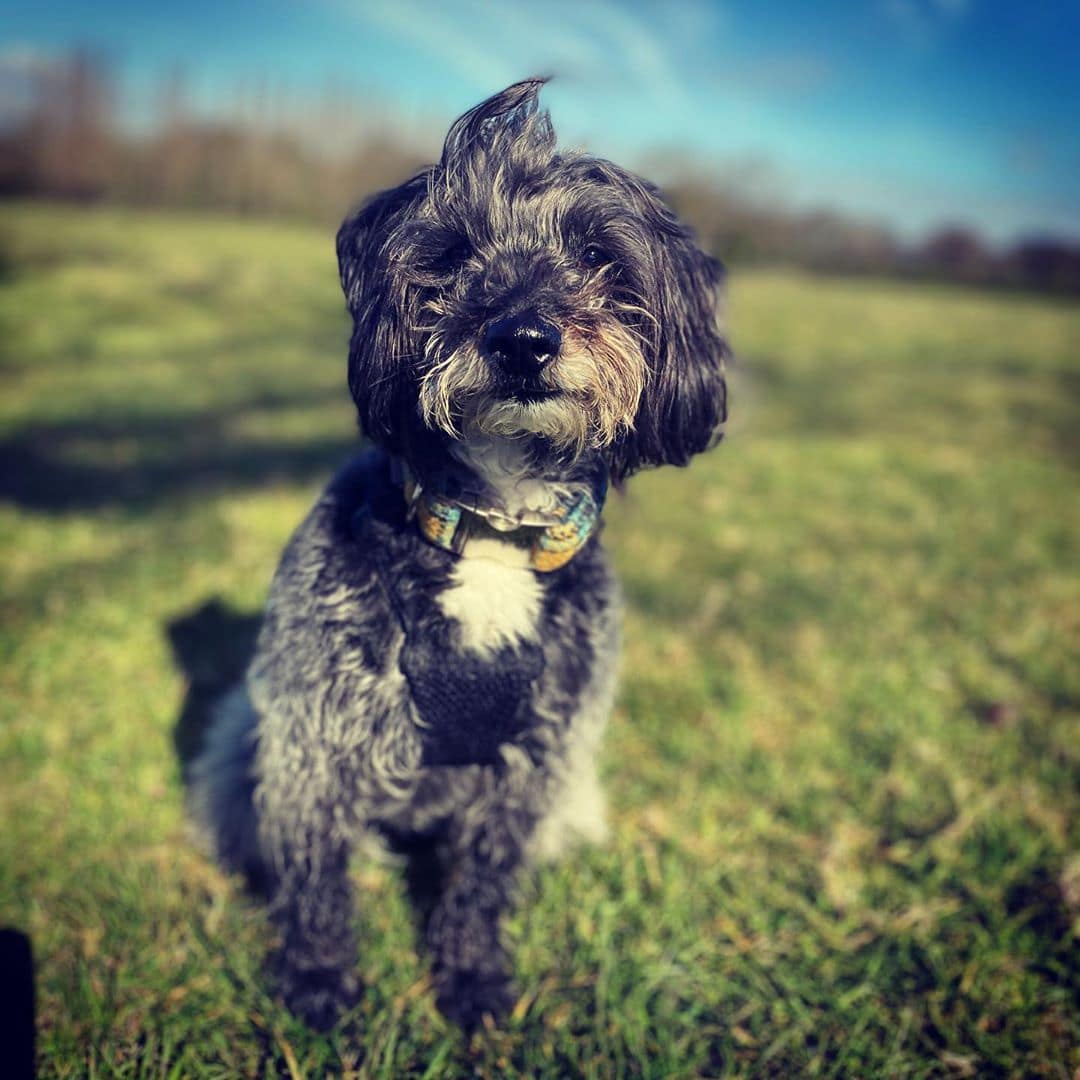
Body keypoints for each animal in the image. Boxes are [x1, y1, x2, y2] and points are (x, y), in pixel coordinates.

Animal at [190, 79, 730, 1032]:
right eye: (453, 253)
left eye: (599, 256)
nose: (522, 339)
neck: (493, 534)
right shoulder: (314, 749)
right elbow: (318, 884)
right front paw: (320, 985)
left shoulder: (531, 773)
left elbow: (482, 887)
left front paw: (473, 981)